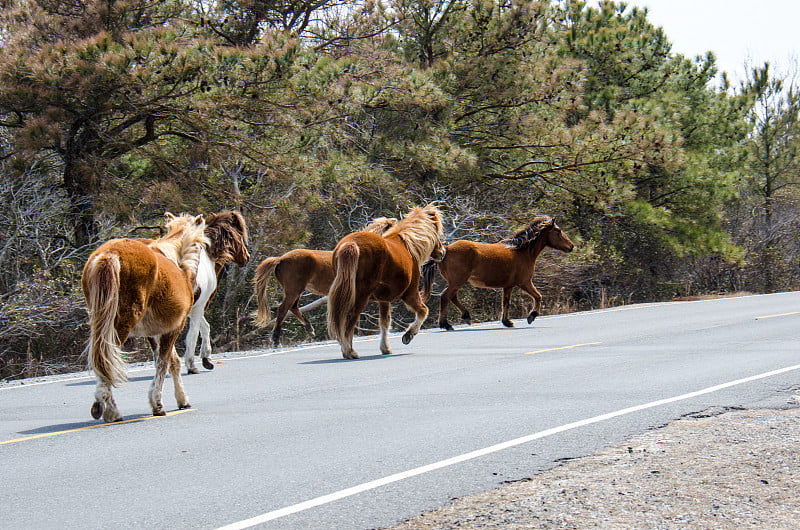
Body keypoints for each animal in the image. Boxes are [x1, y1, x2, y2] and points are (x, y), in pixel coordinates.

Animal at [82, 211, 209, 420]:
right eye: (200, 244)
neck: (176, 260)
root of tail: (109, 254)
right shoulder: (174, 327)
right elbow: (163, 363)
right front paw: (157, 403)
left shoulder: (155, 332)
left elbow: (172, 362)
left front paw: (182, 399)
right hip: (122, 323)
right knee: (105, 357)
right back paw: (108, 409)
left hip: (100, 320)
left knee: (101, 356)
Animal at [183, 208, 248, 374]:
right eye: (239, 235)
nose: (246, 257)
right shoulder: (199, 305)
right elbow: (194, 333)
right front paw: (195, 362)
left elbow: (204, 327)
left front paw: (206, 358)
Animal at [253, 216, 396, 346]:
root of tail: (281, 259)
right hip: (294, 290)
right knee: (283, 309)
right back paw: (276, 339)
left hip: (296, 291)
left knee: (293, 307)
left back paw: (309, 329)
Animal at [328, 204, 446, 356]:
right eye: (437, 232)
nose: (442, 252)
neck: (409, 246)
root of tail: (351, 244)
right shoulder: (410, 294)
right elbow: (423, 311)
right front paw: (408, 335)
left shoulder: (383, 300)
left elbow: (384, 323)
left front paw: (385, 348)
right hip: (361, 296)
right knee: (350, 319)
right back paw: (350, 351)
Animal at [422, 214, 572, 330]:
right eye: (558, 231)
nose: (571, 246)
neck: (522, 251)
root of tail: (445, 251)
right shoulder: (525, 283)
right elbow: (538, 296)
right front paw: (531, 316)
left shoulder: (508, 286)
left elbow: (506, 303)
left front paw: (507, 322)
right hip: (457, 281)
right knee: (445, 297)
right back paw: (446, 324)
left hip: (456, 282)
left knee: (452, 297)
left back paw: (466, 317)